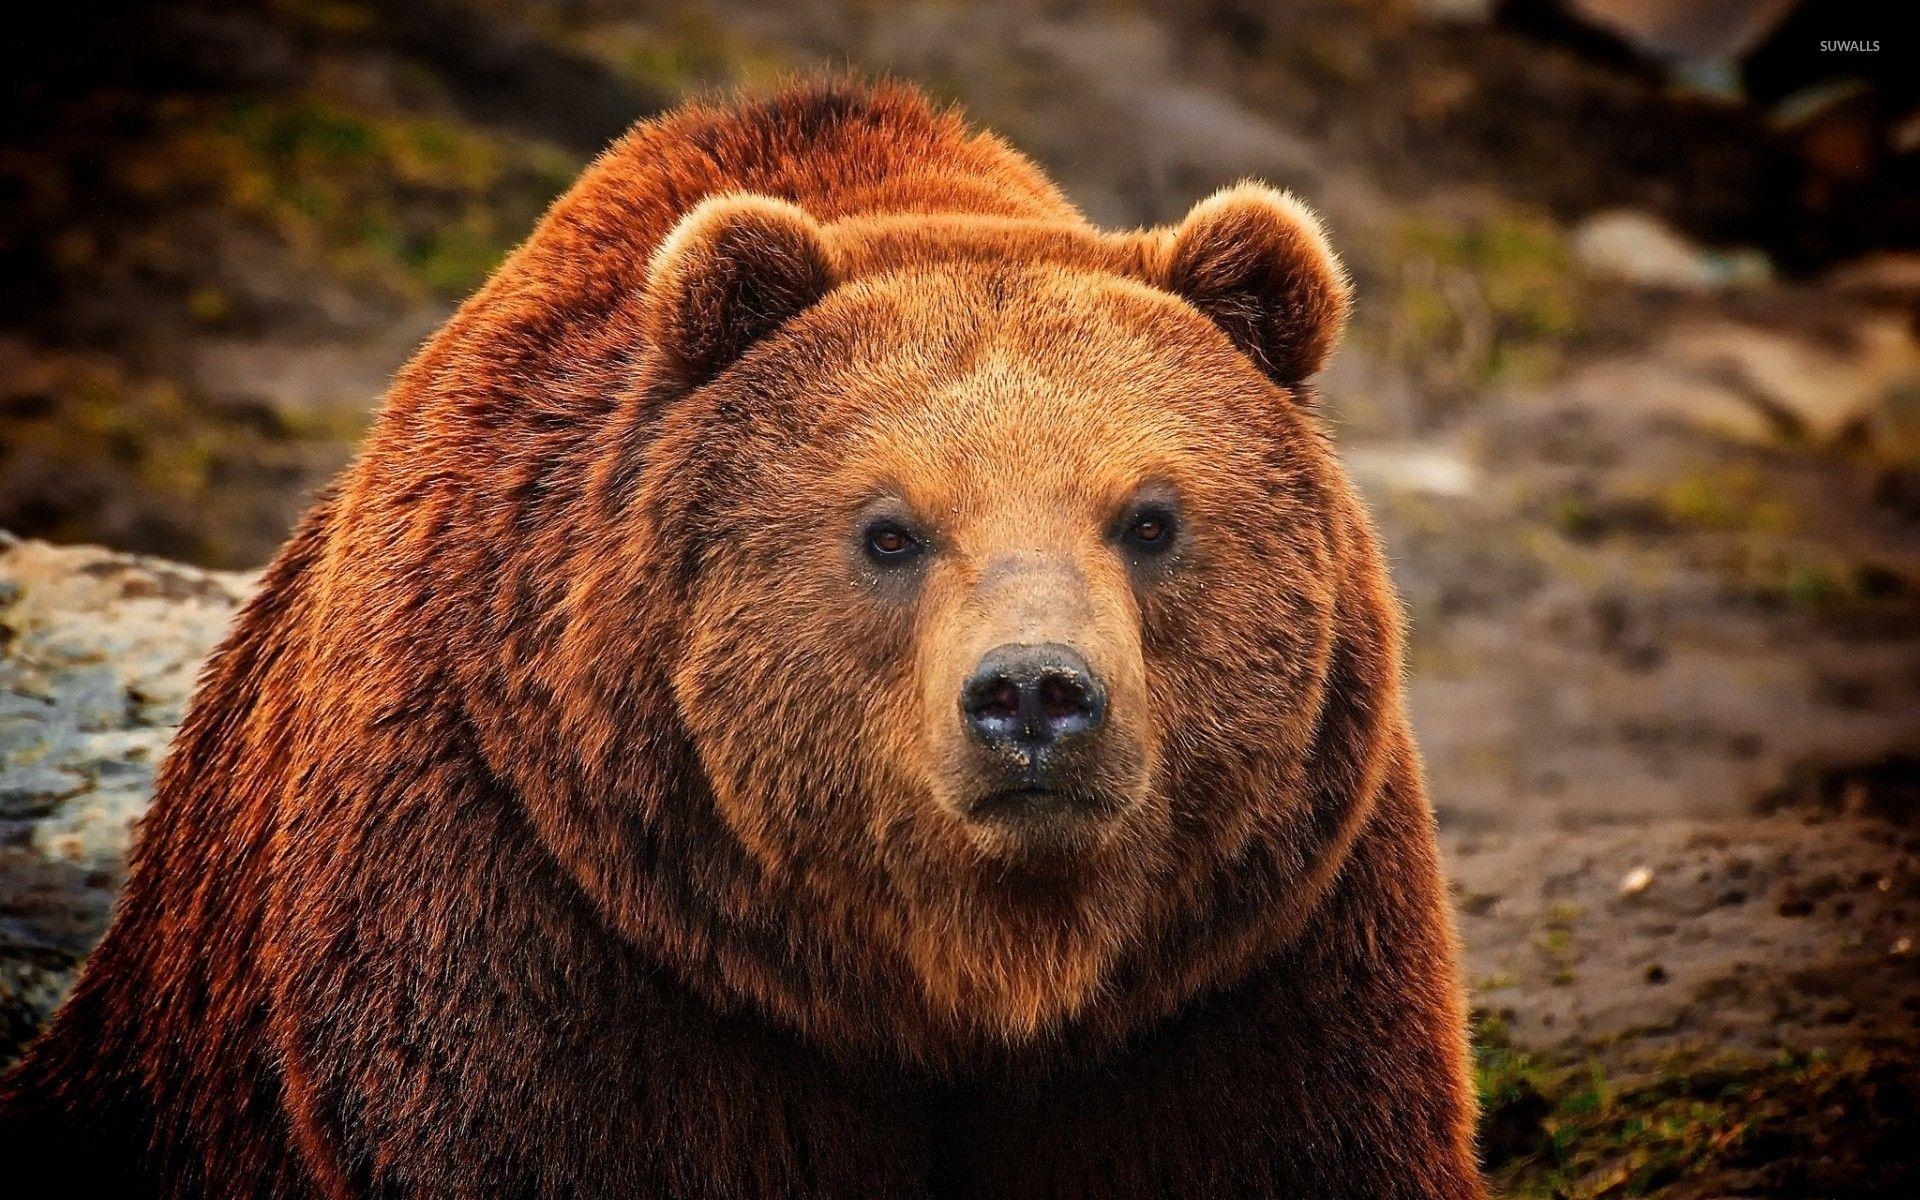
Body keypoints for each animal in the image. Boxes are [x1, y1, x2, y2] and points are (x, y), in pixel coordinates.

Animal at [0, 79, 1482, 1190]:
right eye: (889, 531)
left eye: (1153, 517)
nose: (1034, 696)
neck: (961, 980)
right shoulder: (553, 911)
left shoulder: (1244, 956)